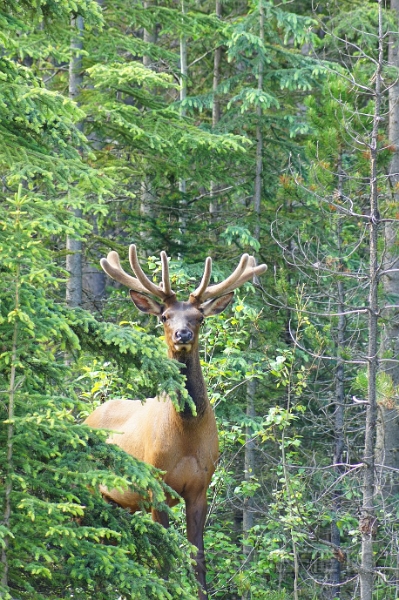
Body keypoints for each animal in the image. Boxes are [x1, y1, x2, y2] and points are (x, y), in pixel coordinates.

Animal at [85, 245, 268, 600]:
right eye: (164, 317)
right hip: (91, 486)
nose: (183, 334)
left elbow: (198, 557)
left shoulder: (199, 486)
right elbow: (164, 558)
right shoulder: (156, 485)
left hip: (122, 501)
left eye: (199, 318)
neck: (186, 436)